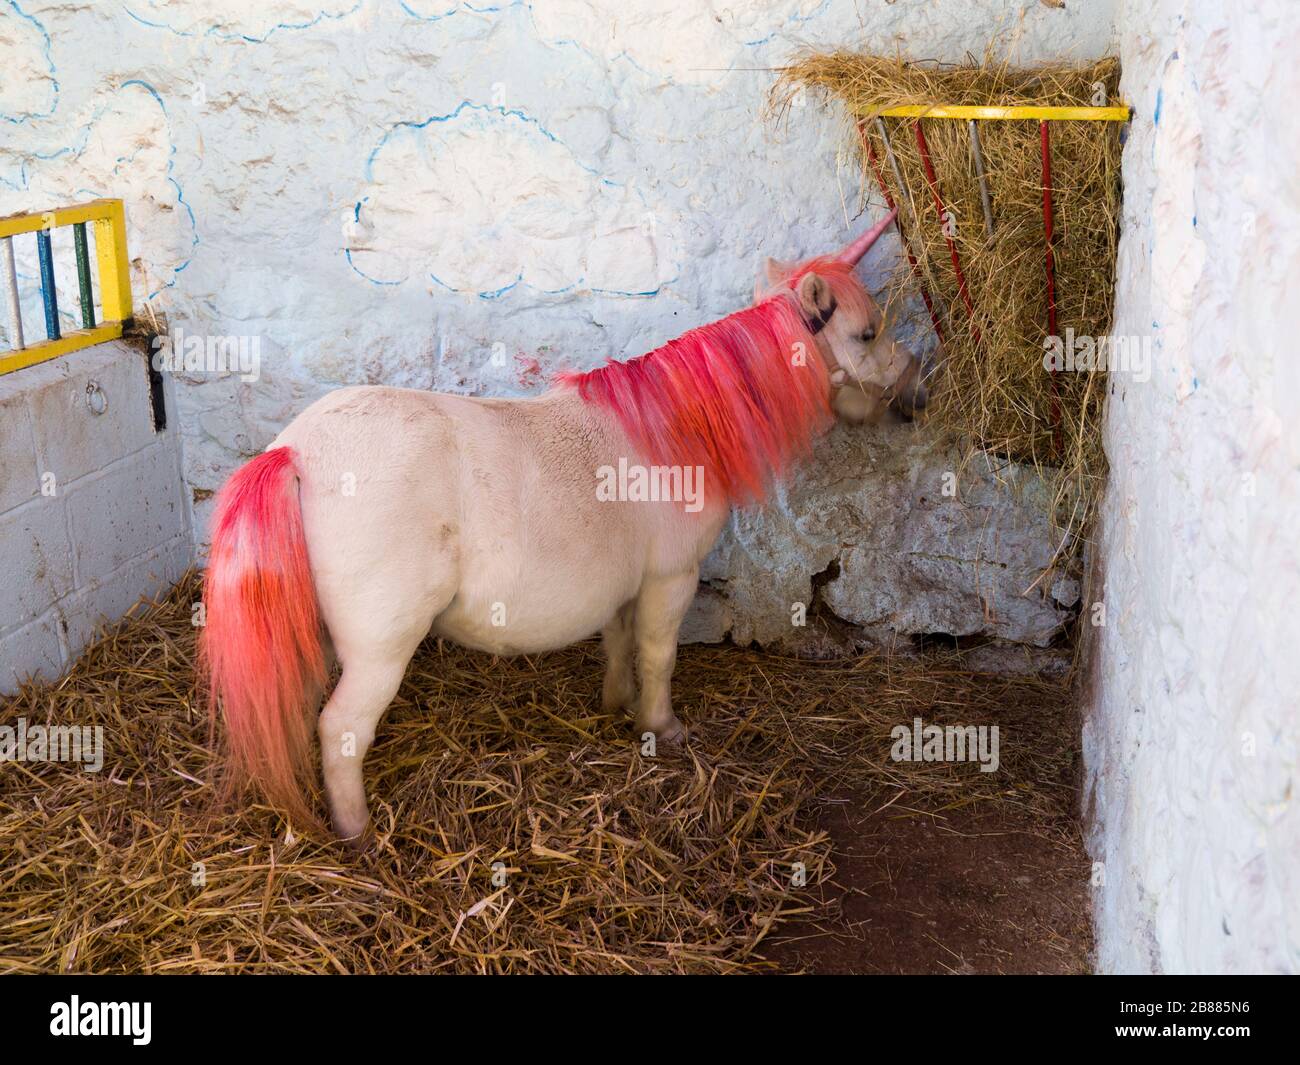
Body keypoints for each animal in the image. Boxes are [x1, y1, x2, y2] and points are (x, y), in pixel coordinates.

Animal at [199, 209, 926, 840]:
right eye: (866, 333)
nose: (919, 393)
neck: (673, 429)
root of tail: (296, 451)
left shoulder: (628, 583)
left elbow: (620, 643)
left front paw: (617, 705)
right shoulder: (672, 577)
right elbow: (659, 654)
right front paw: (662, 726)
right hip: (381, 649)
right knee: (341, 730)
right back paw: (356, 831)